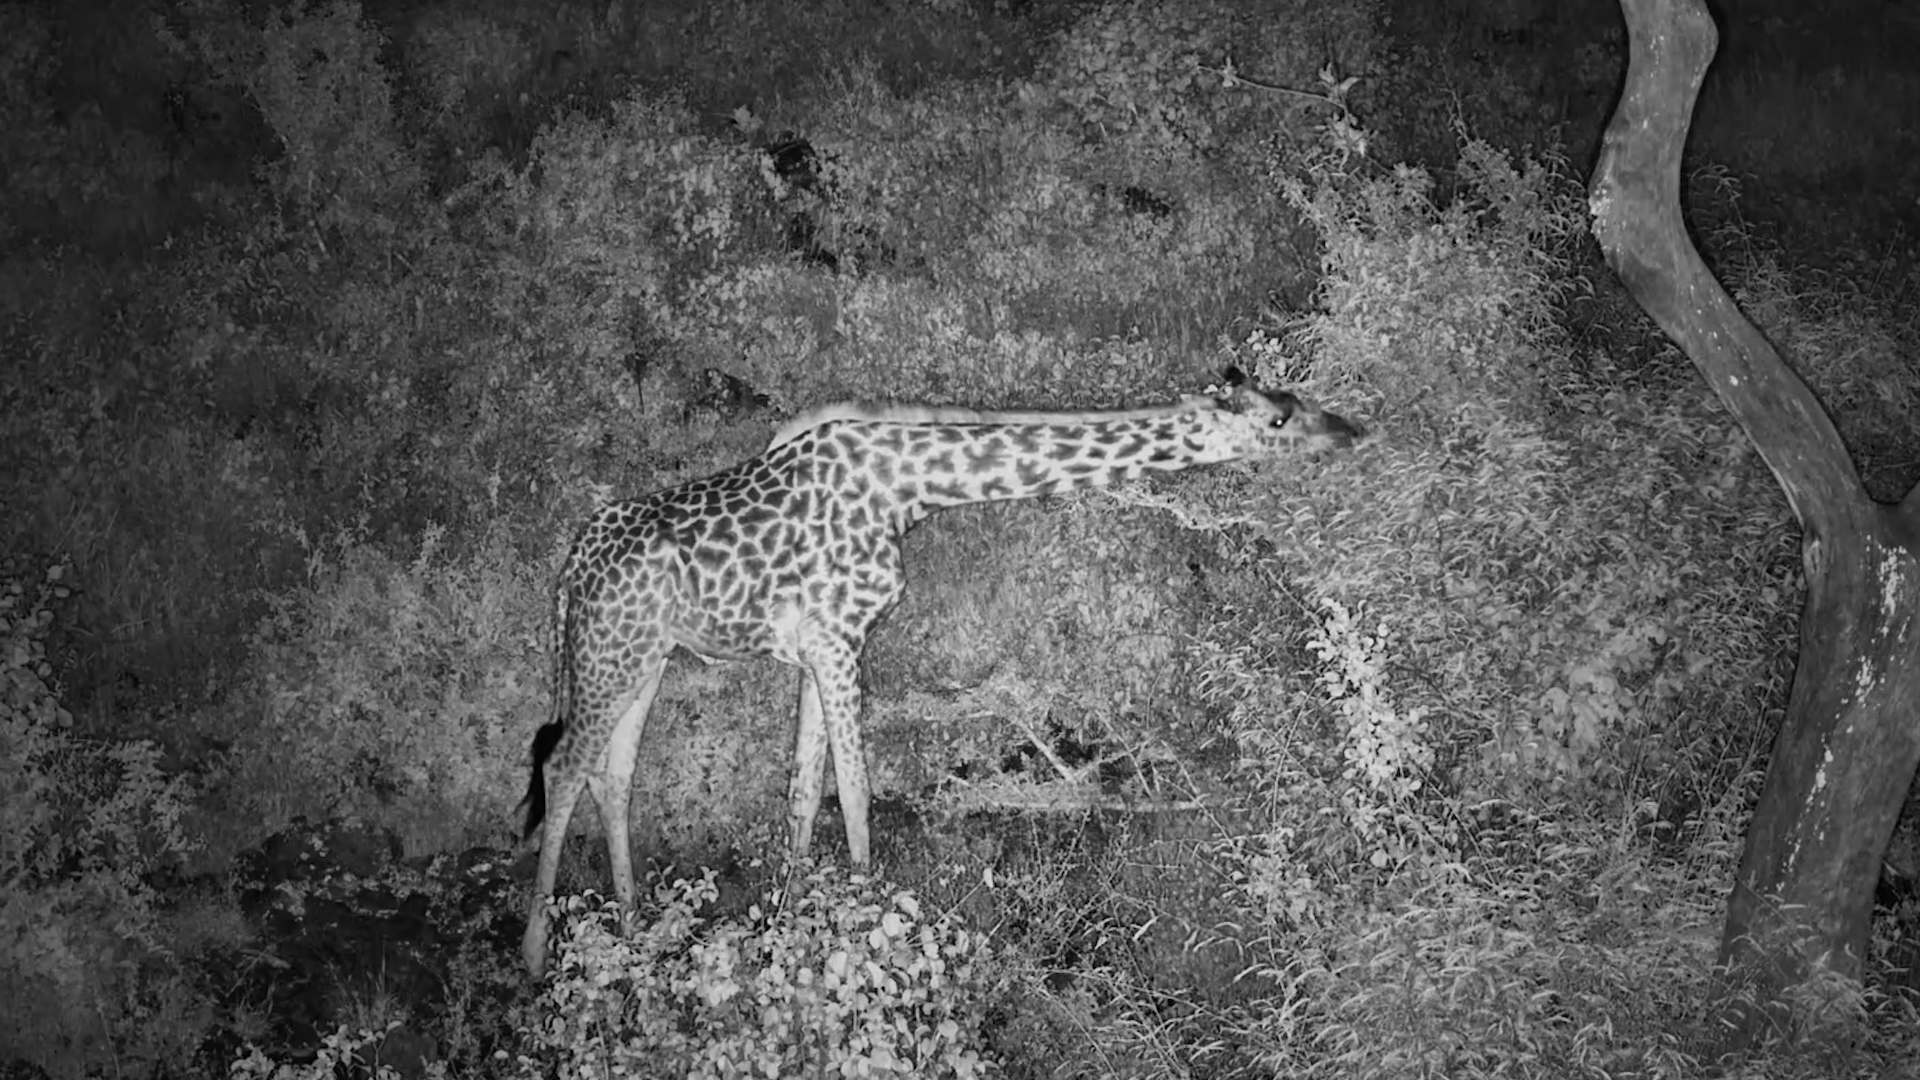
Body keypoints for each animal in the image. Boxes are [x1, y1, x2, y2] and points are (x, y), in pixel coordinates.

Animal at [519, 372, 1363, 975]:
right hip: (608, 654)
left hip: (646, 659)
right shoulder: (837, 639)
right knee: (564, 768)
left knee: (612, 775)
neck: (912, 486)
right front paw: (860, 936)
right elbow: (854, 792)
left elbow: (801, 792)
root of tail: (568, 574)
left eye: (1299, 404)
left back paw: (634, 931)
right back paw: (535, 959)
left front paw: (788, 931)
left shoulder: (823, 645)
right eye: (1277, 421)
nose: (1352, 431)